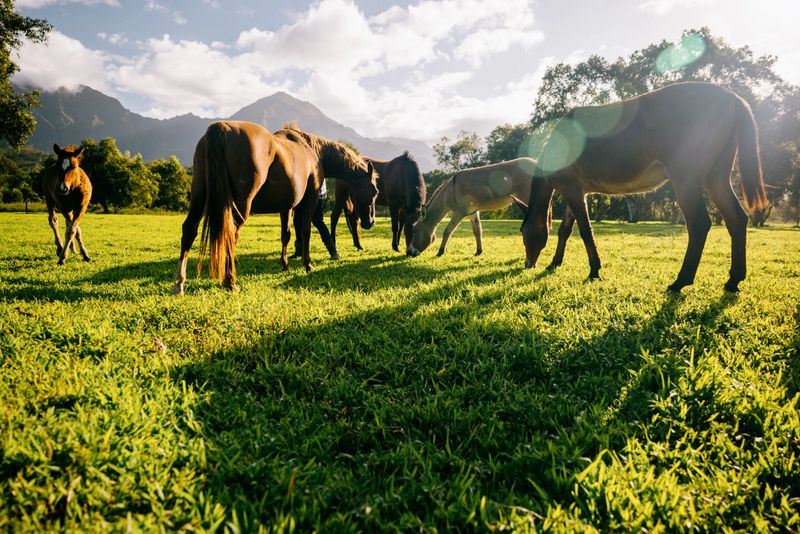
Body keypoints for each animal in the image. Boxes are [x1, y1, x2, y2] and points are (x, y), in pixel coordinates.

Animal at [171, 122, 378, 295]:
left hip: (200, 195)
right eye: (374, 191)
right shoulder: (309, 201)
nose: (370, 222)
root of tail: (220, 128)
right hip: (240, 205)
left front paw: (285, 265)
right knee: (230, 234)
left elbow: (286, 235)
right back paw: (230, 282)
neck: (312, 150)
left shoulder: (286, 206)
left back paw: (179, 283)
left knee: (189, 231)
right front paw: (307, 264)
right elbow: (305, 232)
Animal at [407, 157, 536, 257]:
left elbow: (447, 231)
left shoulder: (459, 212)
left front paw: (440, 252)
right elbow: (477, 231)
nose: (409, 253)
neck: (448, 192)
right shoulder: (472, 212)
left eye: (414, 231)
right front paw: (478, 251)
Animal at [520, 82, 768, 293]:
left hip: (686, 177)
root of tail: (734, 98)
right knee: (736, 219)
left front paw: (594, 270)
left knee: (699, 224)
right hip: (716, 177)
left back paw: (680, 281)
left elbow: (585, 230)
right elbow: (565, 230)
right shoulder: (578, 190)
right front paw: (555, 263)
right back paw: (733, 279)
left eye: (522, 231)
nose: (528, 264)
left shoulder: (572, 189)